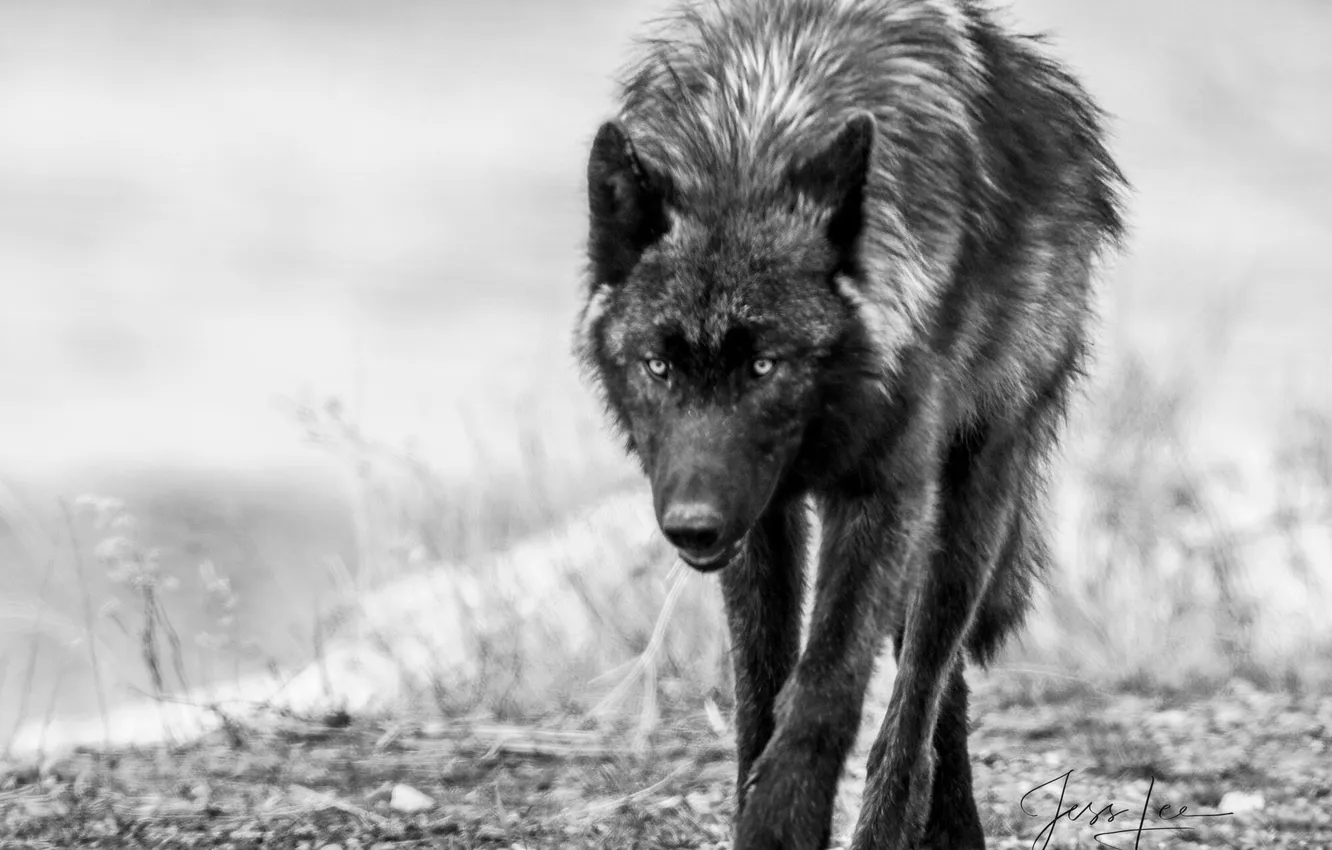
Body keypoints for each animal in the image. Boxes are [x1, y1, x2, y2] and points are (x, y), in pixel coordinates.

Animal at [576, 0, 1126, 847]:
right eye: (659, 366)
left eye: (765, 366)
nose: (692, 525)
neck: (752, 144)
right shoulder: (760, 518)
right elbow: (759, 692)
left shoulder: (882, 492)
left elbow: (826, 691)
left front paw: (782, 820)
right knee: (937, 693)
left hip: (968, 500)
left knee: (922, 686)